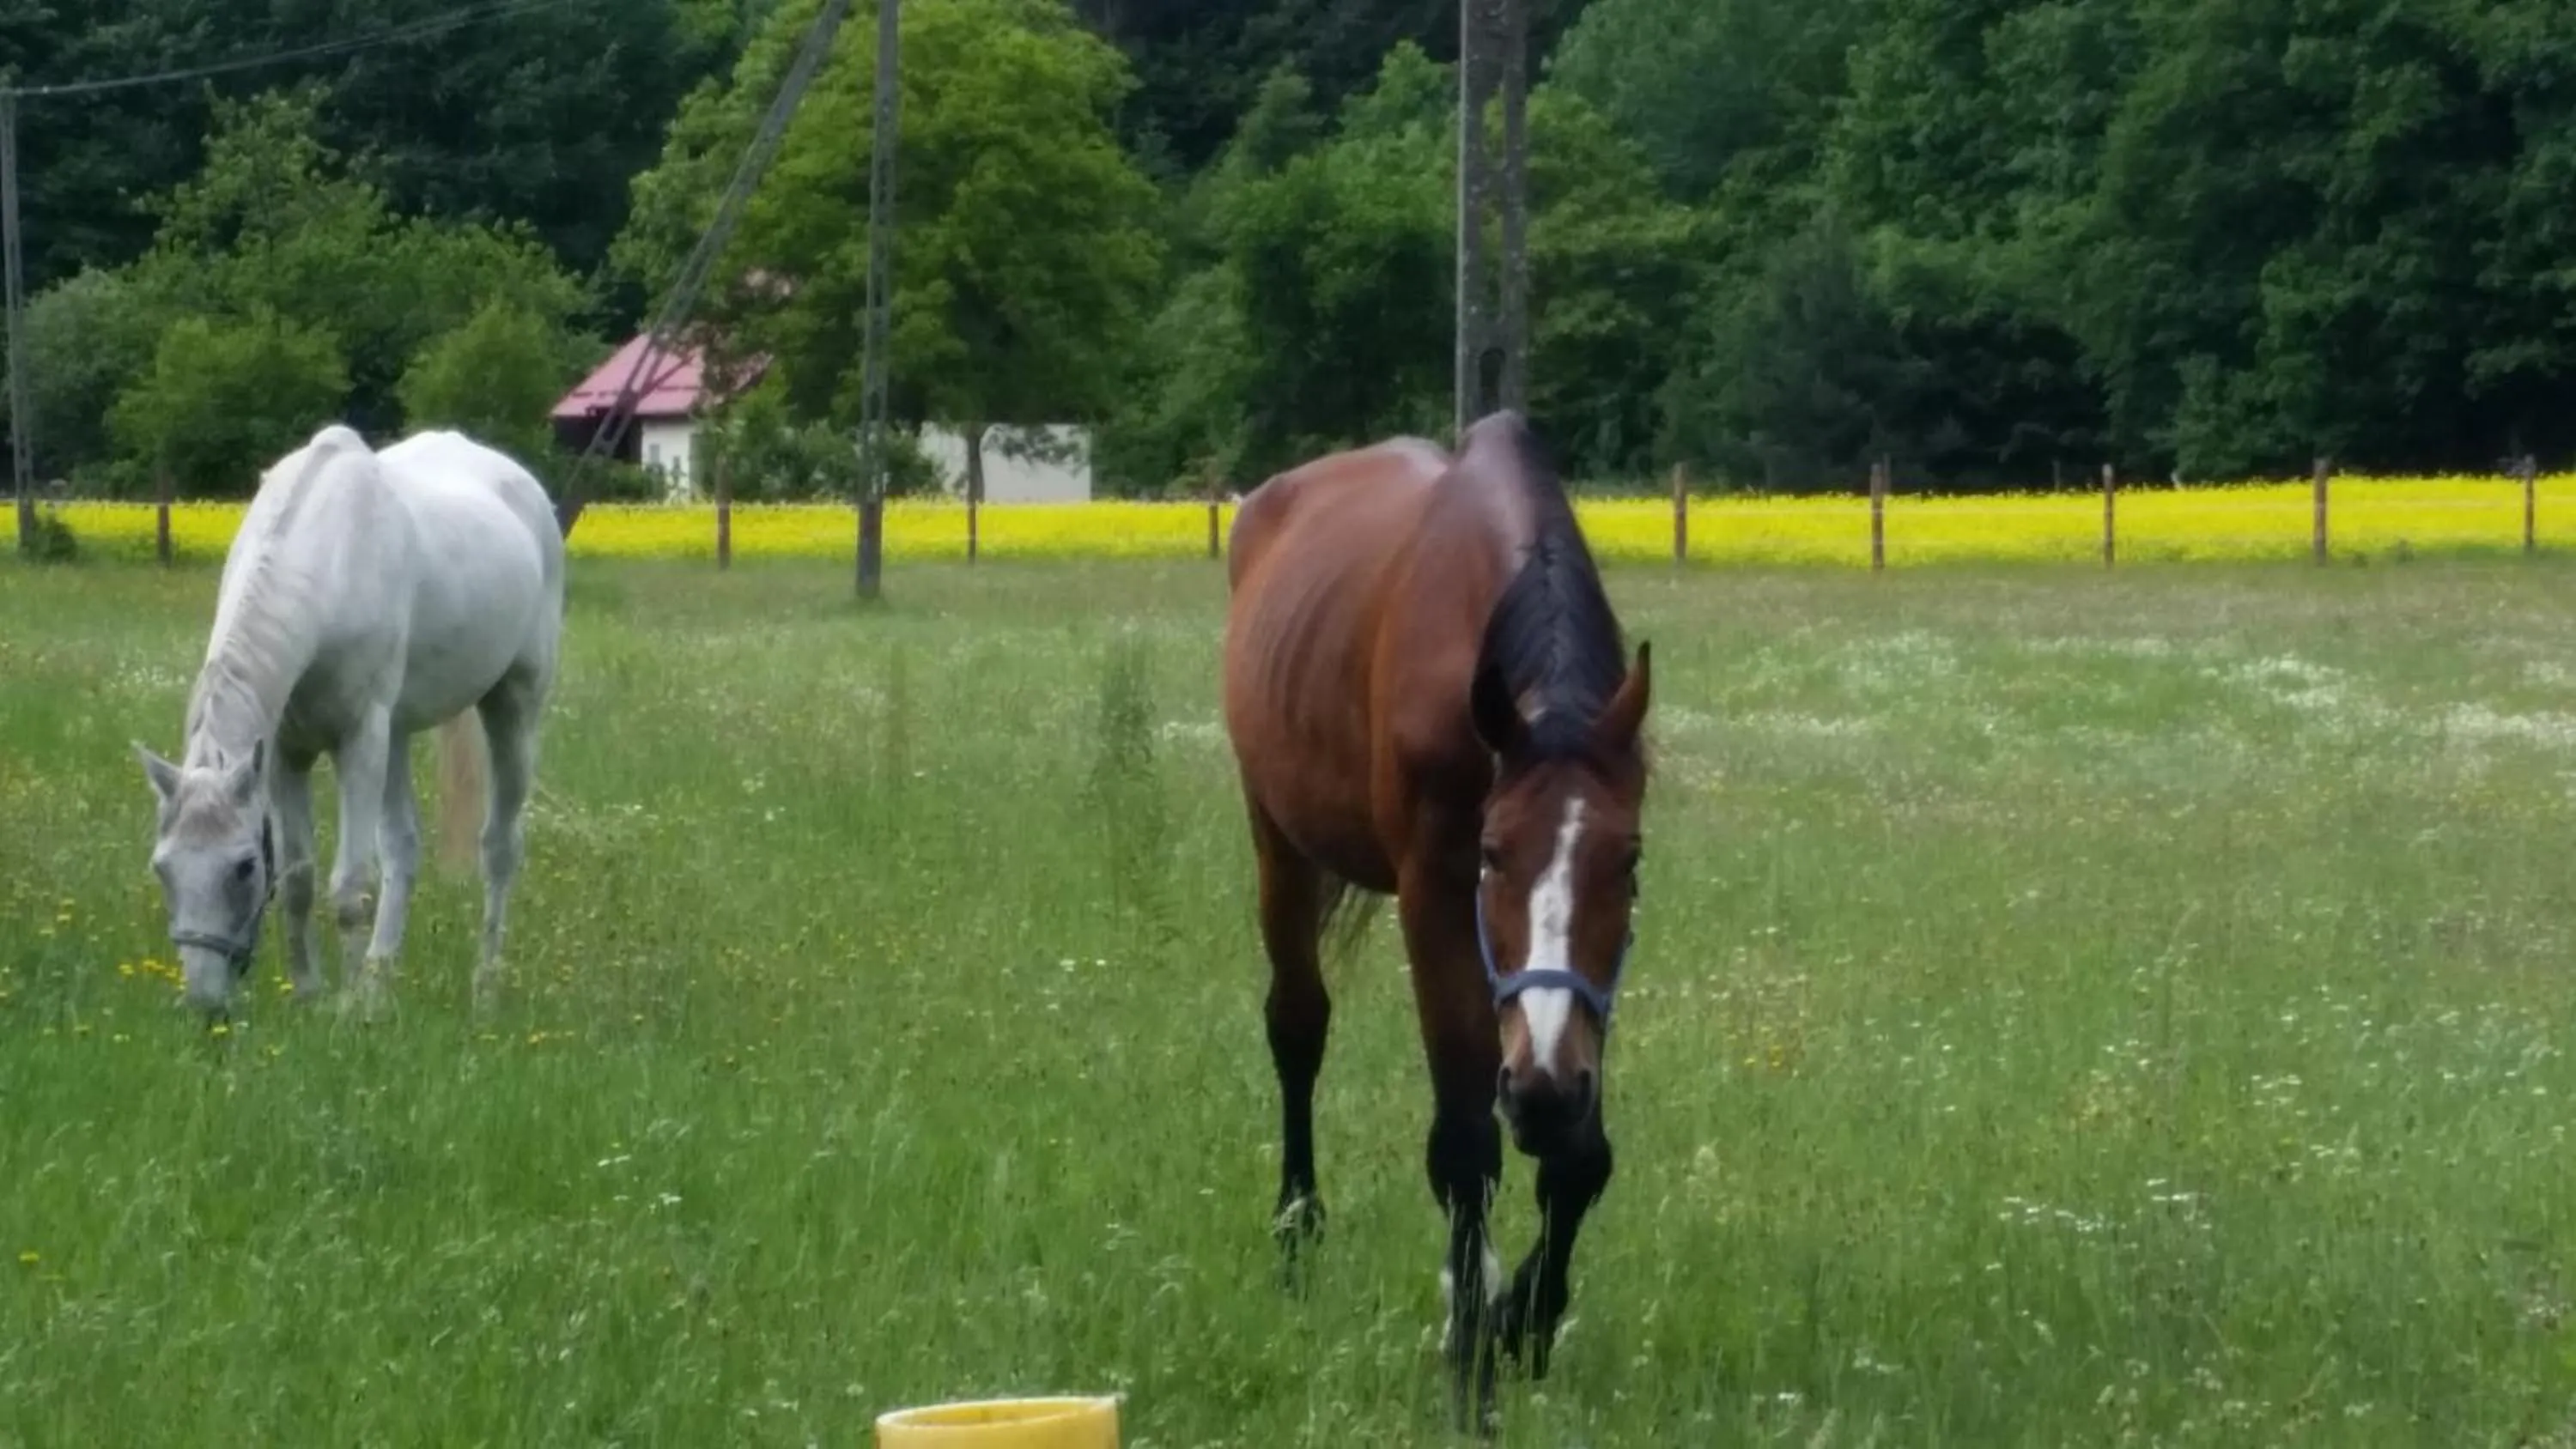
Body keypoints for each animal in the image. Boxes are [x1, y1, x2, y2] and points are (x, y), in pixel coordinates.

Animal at [133, 424, 566, 1023]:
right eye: (162, 867)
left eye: (243, 867)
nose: (204, 1006)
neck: (331, 563)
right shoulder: (285, 754)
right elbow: (299, 880)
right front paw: (313, 996)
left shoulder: (359, 740)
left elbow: (349, 886)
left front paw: (345, 1014)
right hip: (398, 736)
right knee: (403, 851)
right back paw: (379, 989)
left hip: (512, 708)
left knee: (500, 849)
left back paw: (482, 993)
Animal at [1219, 411, 1653, 1432]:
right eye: (1492, 854)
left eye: (1628, 862)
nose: (1541, 1089)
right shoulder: (1432, 894)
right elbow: (1464, 1145)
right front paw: (1474, 1367)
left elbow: (1579, 1159)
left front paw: (1522, 1316)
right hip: (1276, 839)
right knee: (1297, 1027)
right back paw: (1298, 1234)